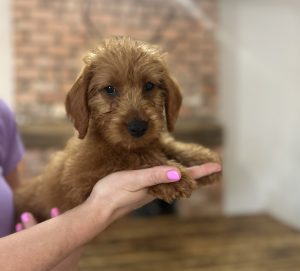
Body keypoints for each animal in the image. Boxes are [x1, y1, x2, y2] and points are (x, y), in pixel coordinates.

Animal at [14, 37, 220, 222]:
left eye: (149, 86)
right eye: (109, 89)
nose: (138, 127)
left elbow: (164, 145)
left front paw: (201, 157)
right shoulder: (82, 175)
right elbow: (125, 156)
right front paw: (172, 177)